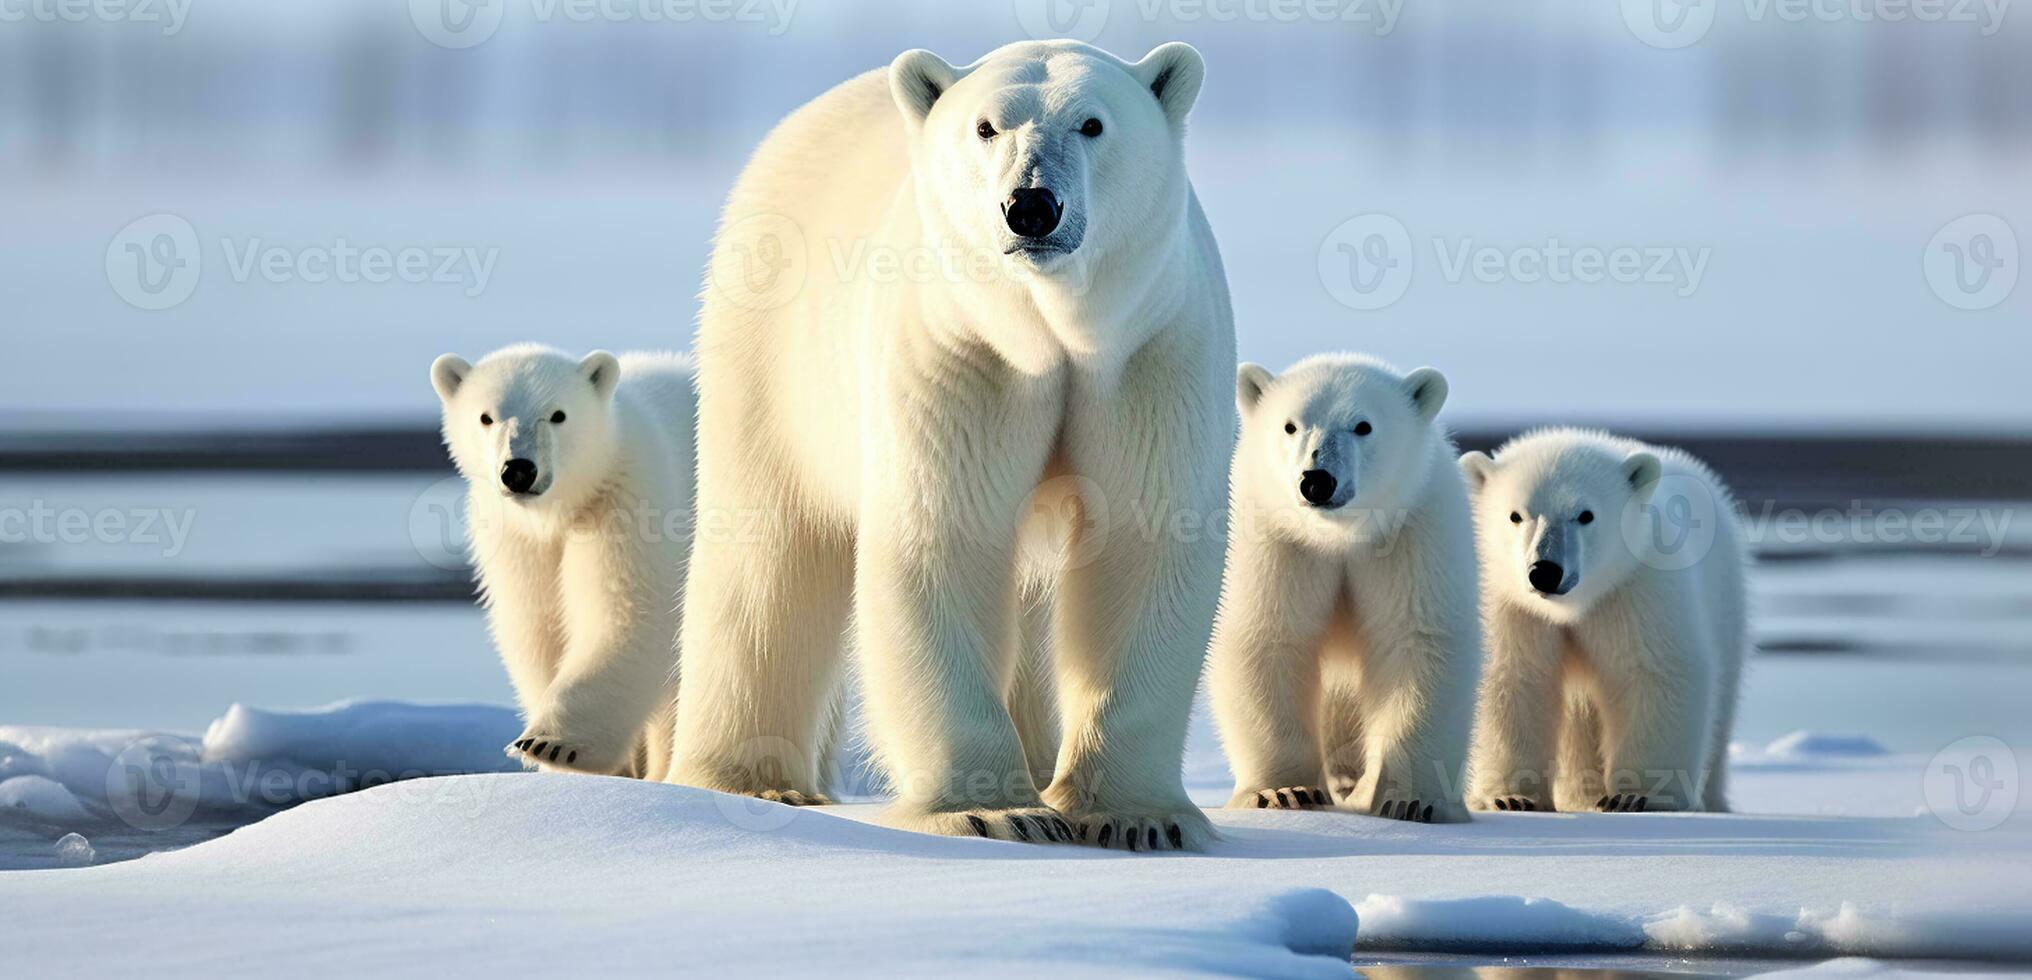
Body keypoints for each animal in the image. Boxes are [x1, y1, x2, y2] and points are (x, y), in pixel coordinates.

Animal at [674, 40, 1227, 849]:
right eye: (986, 126)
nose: (1032, 206)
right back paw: (749, 780)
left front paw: (1138, 818)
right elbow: (943, 535)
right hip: (770, 351)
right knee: (767, 557)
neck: (1049, 332)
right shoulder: (960, 351)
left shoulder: (1147, 351)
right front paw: (995, 810)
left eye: (1092, 123)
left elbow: (1145, 537)